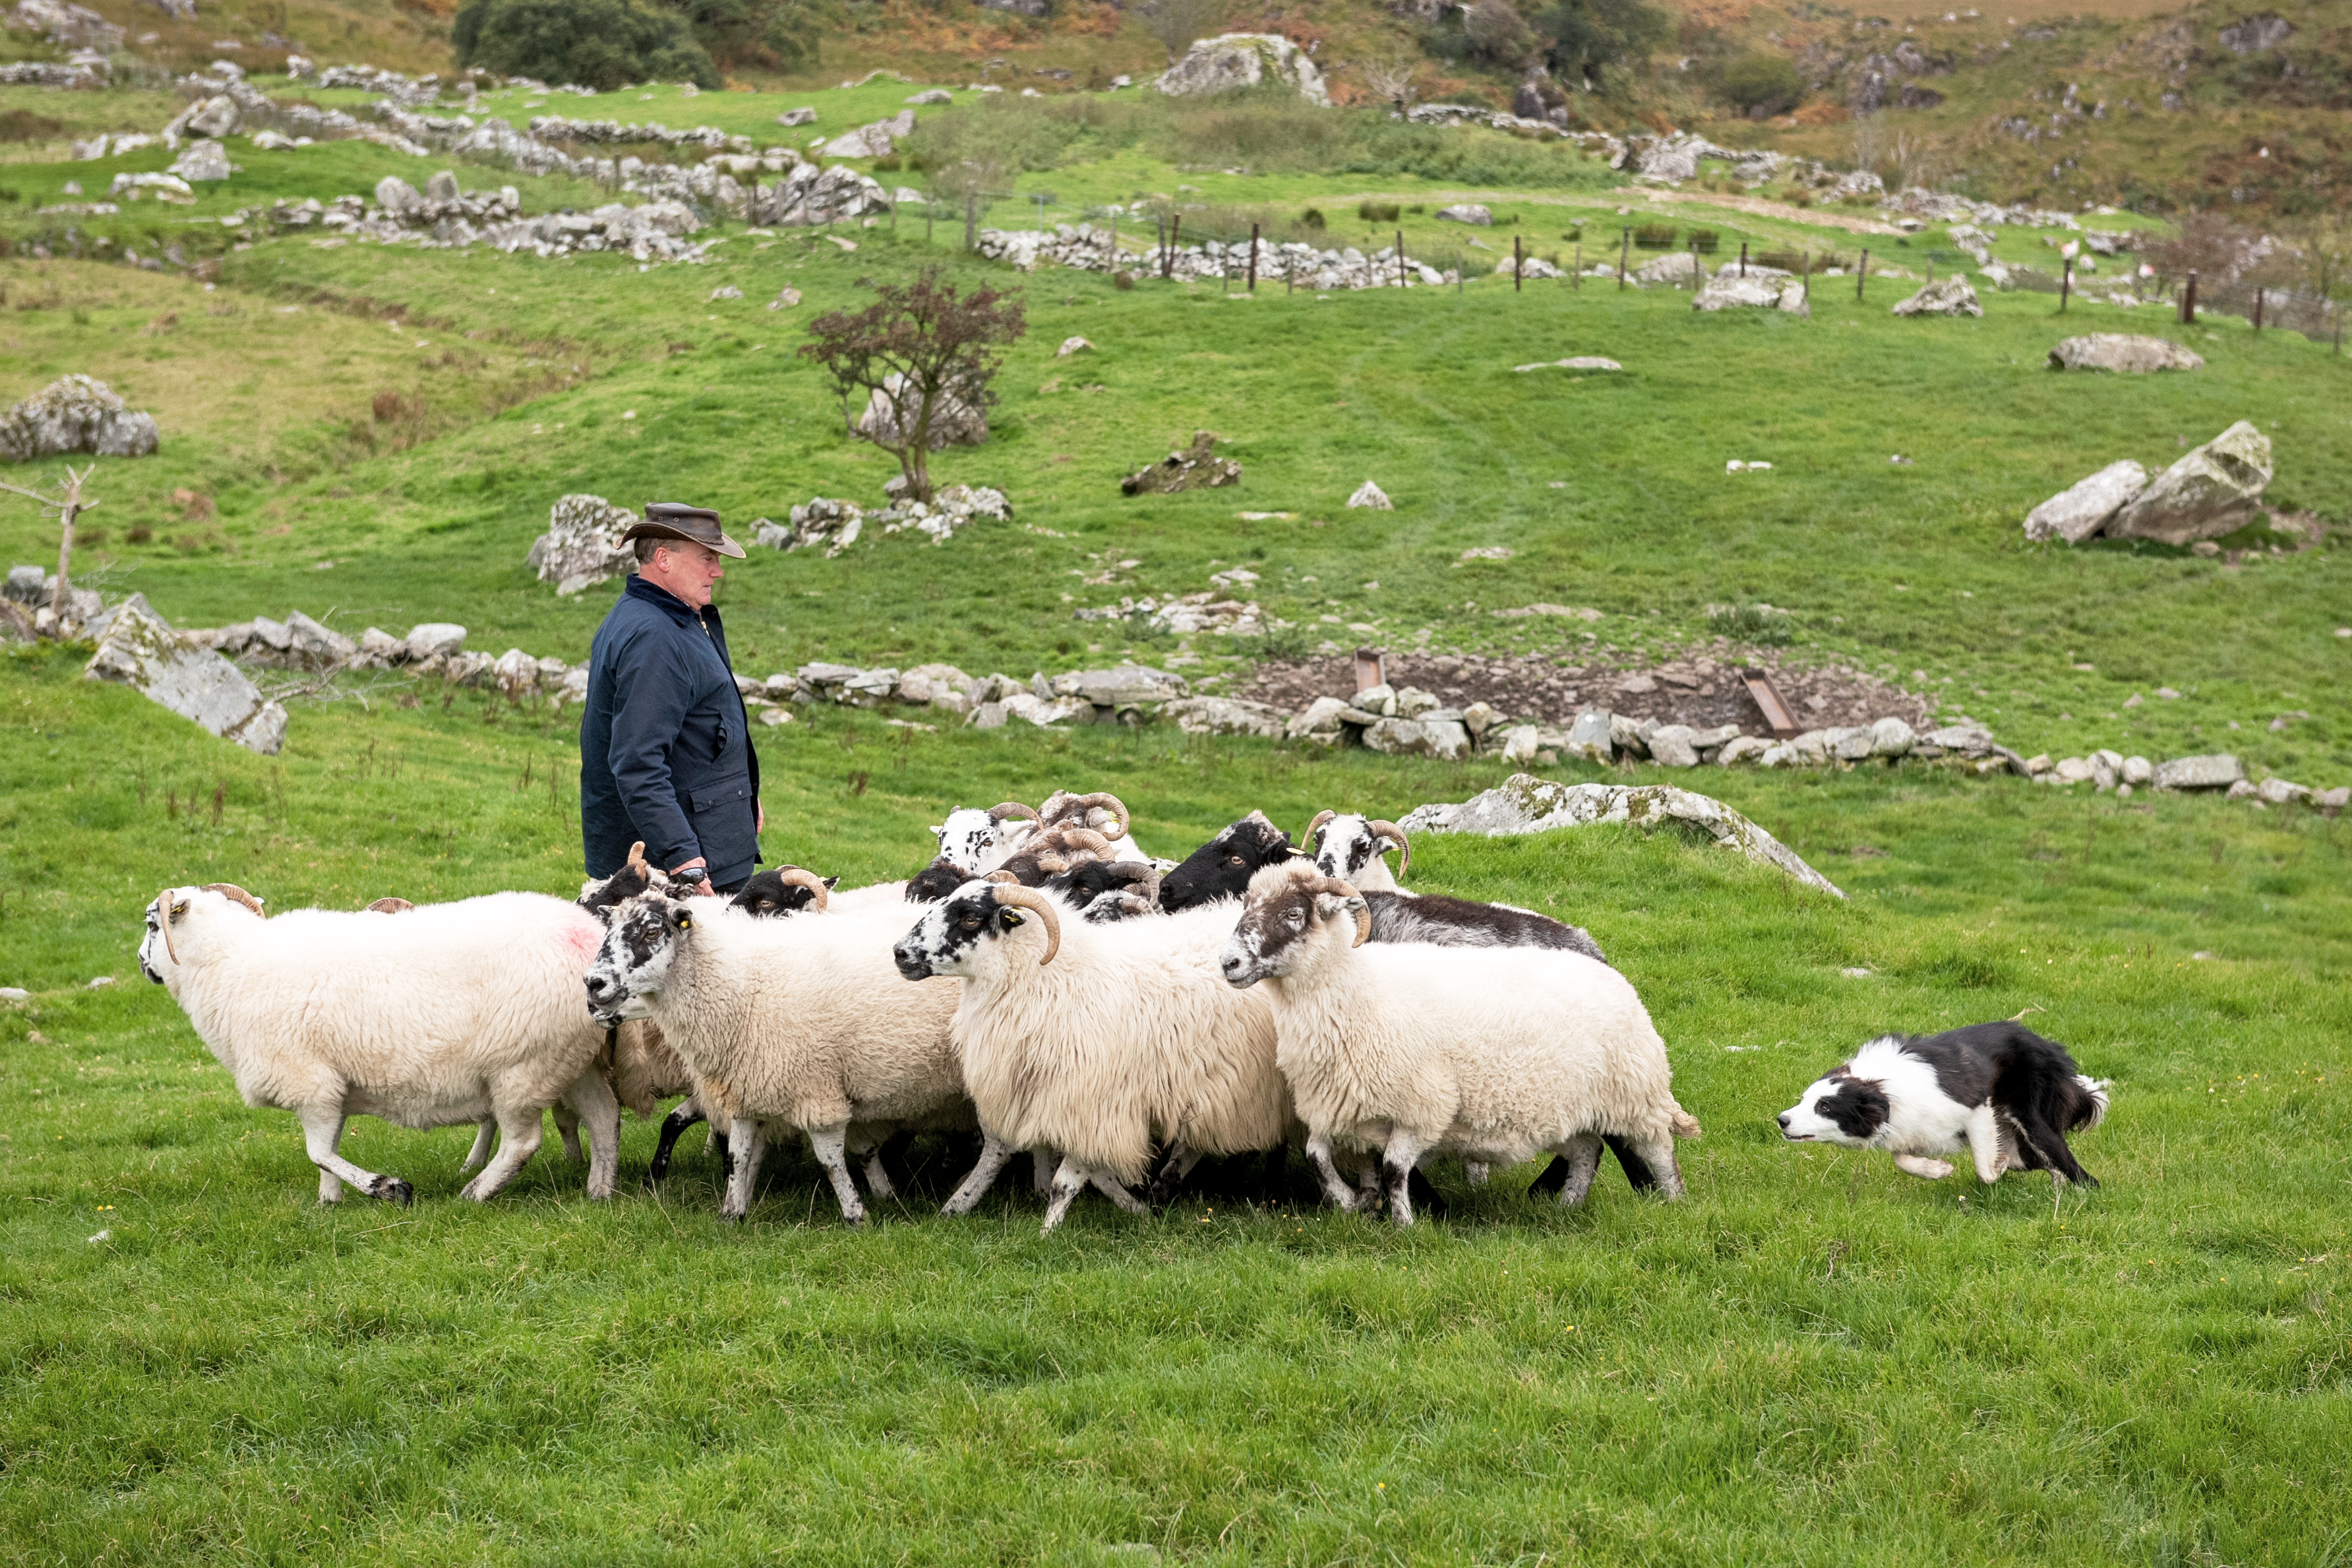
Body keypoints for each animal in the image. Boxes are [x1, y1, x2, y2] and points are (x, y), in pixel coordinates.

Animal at [138, 888, 625, 1213]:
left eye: (151, 924)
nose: (142, 964)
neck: (231, 963)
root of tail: (588, 935)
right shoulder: (332, 1087)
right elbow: (327, 1153)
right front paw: (329, 1204)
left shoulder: (310, 1083)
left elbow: (318, 1153)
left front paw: (388, 1188)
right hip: (570, 1059)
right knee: (604, 1117)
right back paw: (599, 1190)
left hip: (520, 1066)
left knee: (523, 1143)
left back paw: (476, 1193)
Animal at [583, 893, 978, 1222]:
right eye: (608, 930)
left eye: (652, 930)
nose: (592, 984)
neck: (741, 985)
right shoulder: (745, 1089)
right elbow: (738, 1156)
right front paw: (732, 1213)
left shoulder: (817, 1092)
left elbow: (831, 1162)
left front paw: (856, 1215)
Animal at [1222, 860, 1703, 1222]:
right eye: (1246, 906)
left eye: (1292, 914)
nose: (1228, 962)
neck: (1360, 990)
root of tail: (1605, 966)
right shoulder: (1344, 1110)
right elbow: (1317, 1156)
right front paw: (1350, 1203)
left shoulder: (1422, 1107)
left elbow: (1394, 1169)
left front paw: (1403, 1224)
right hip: (1573, 1105)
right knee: (1587, 1150)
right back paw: (1567, 1206)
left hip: (1634, 1093)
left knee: (1658, 1150)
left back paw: (1672, 1202)